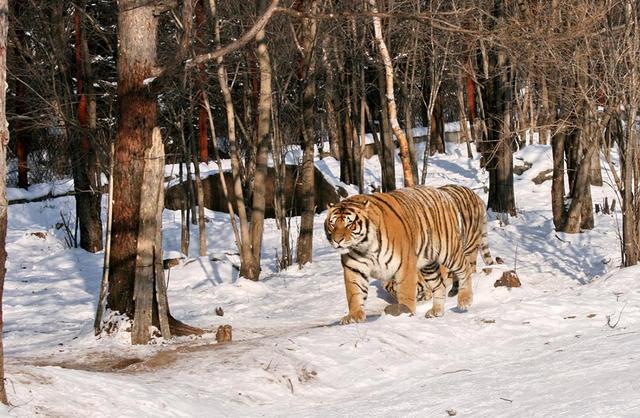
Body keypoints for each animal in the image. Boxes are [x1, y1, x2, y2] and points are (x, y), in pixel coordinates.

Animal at [324, 185, 476, 324]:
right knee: (439, 286)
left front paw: (405, 312)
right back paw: (436, 311)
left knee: (465, 268)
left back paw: (465, 300)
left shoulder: (405, 265)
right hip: (428, 264)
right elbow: (354, 292)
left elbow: (406, 292)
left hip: (449, 251)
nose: (337, 240)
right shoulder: (353, 268)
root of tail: (441, 192)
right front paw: (354, 316)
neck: (364, 247)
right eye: (332, 224)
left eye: (349, 224)